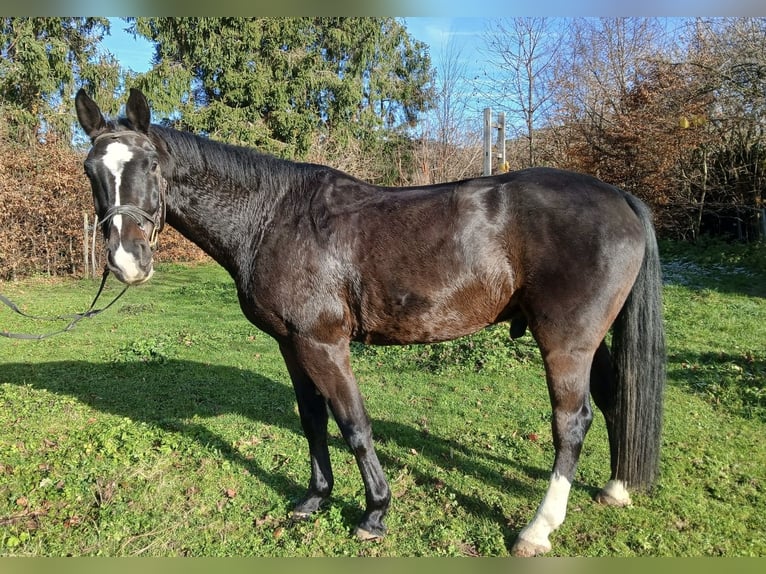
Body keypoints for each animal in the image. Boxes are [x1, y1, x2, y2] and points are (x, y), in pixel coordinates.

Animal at [74, 88, 665, 557]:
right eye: (91, 171)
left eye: (151, 166)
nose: (127, 261)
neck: (272, 217)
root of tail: (619, 197)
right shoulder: (291, 344)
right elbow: (313, 418)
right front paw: (314, 498)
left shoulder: (324, 343)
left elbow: (354, 424)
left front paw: (375, 512)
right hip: (590, 341)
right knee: (613, 398)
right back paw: (615, 488)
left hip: (565, 343)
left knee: (572, 422)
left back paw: (537, 530)